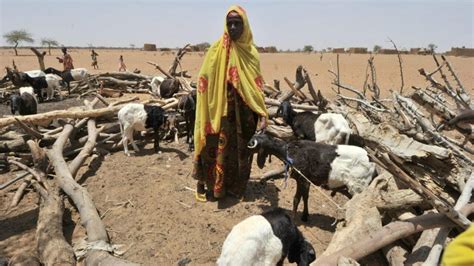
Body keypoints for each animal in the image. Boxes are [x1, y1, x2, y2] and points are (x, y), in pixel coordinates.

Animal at [246, 133, 376, 222]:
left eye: (252, 143)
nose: (246, 148)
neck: (290, 153)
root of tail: (373, 164)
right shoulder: (306, 181)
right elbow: (305, 197)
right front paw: (305, 216)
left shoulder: (301, 179)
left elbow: (296, 199)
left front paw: (294, 219)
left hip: (358, 187)